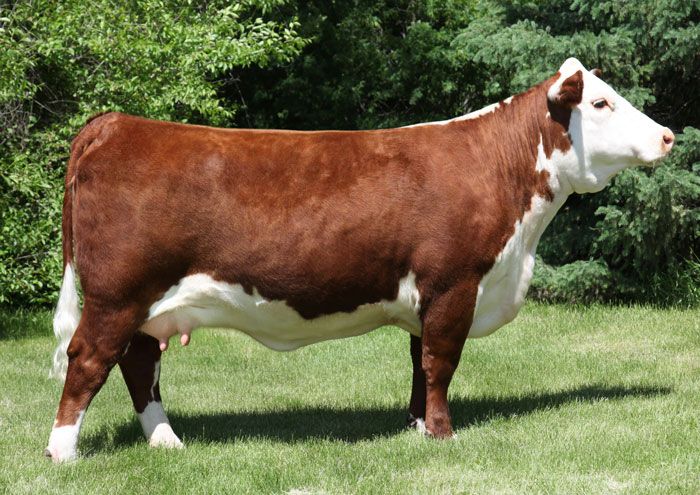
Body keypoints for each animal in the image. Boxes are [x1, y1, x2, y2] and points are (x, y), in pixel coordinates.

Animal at [43, 59, 672, 464]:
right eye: (600, 102)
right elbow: (441, 363)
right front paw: (443, 435)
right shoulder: (455, 283)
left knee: (139, 363)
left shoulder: (428, 295)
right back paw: (63, 452)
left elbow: (419, 362)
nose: (667, 135)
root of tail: (116, 122)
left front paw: (416, 426)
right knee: (88, 360)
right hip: (118, 295)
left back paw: (166, 441)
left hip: (147, 304)